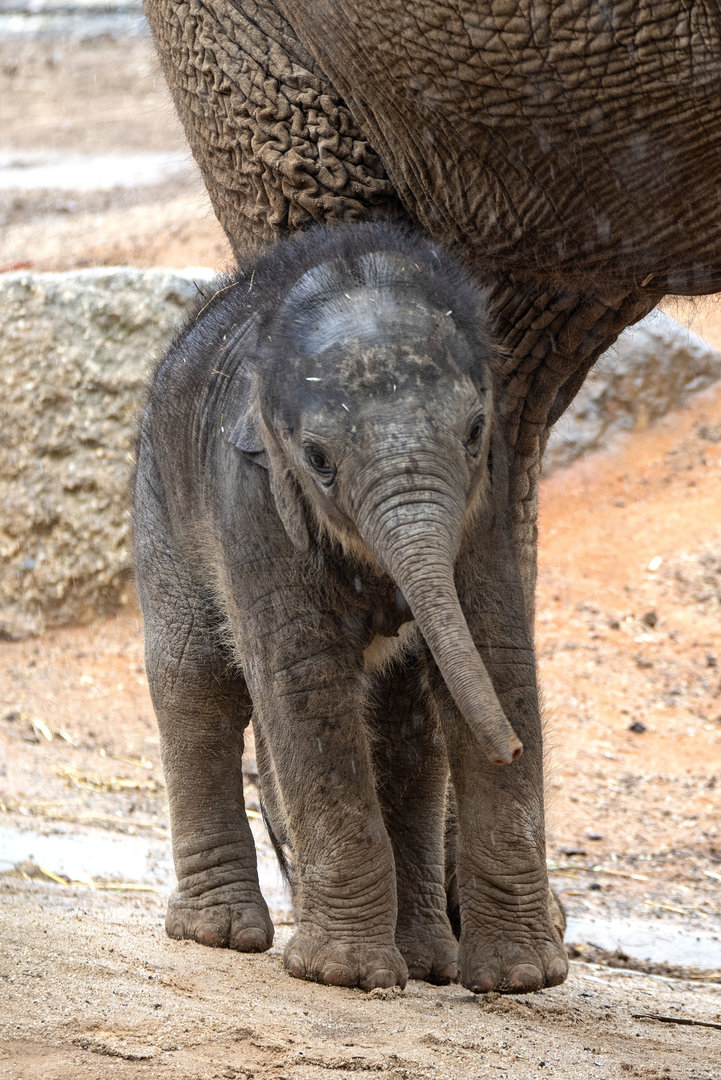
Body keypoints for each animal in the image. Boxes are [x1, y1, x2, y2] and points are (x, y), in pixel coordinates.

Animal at [133, 221, 567, 992]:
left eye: (473, 431)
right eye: (318, 459)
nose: (510, 746)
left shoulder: (488, 495)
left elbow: (495, 656)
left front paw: (519, 978)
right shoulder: (252, 503)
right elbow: (304, 682)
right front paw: (344, 976)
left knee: (406, 729)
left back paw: (425, 960)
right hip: (163, 501)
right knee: (197, 683)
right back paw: (221, 934)